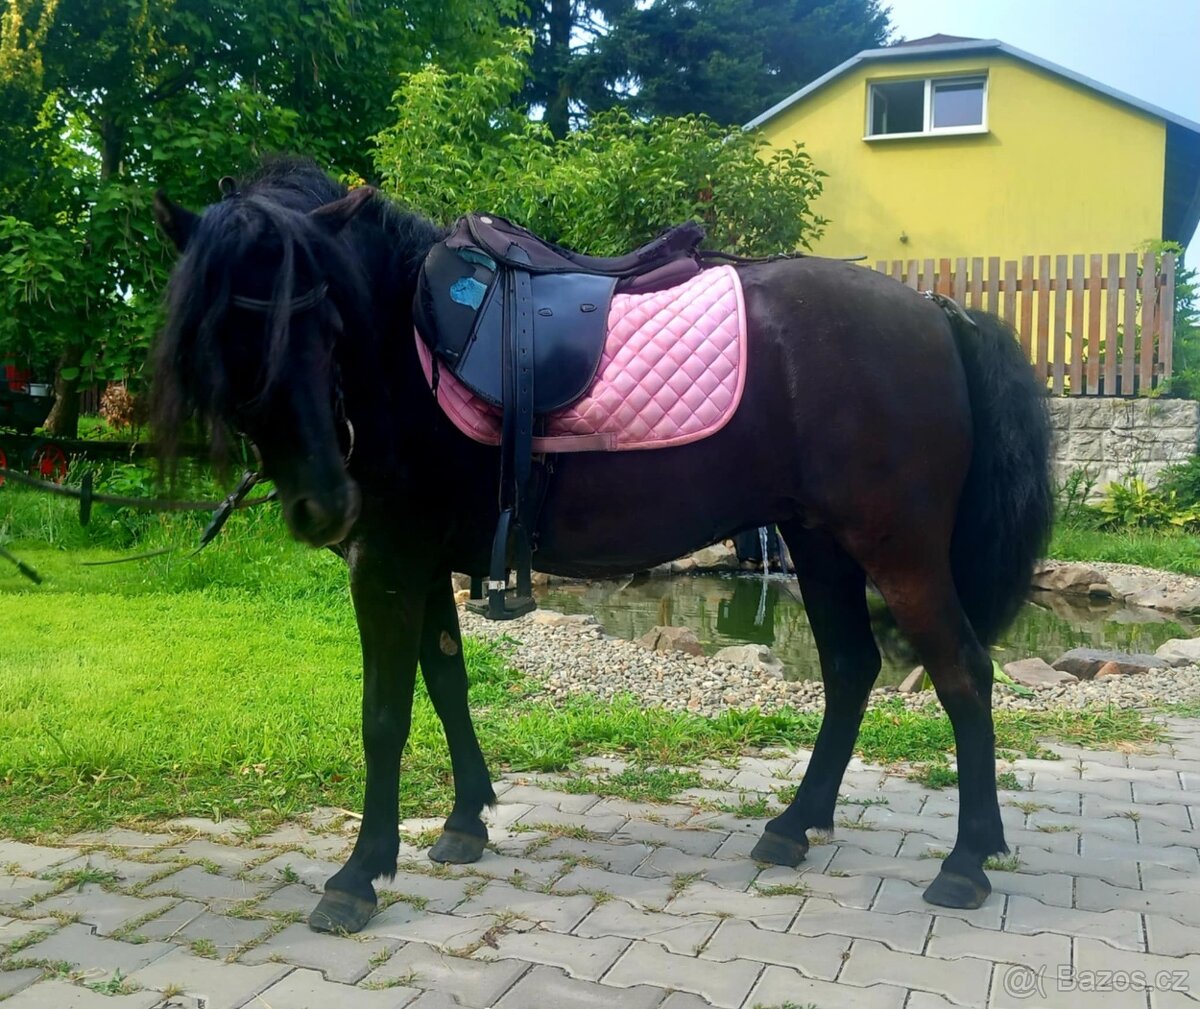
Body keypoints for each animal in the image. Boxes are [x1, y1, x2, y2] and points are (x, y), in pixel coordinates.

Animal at [150, 156, 1053, 935]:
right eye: (223, 337)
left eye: (328, 318)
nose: (326, 506)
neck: (407, 349)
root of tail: (936, 309)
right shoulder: (427, 562)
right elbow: (448, 684)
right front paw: (466, 822)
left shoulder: (389, 563)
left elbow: (385, 714)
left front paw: (358, 874)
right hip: (819, 540)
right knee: (851, 669)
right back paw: (795, 825)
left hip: (898, 550)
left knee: (962, 673)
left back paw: (966, 862)